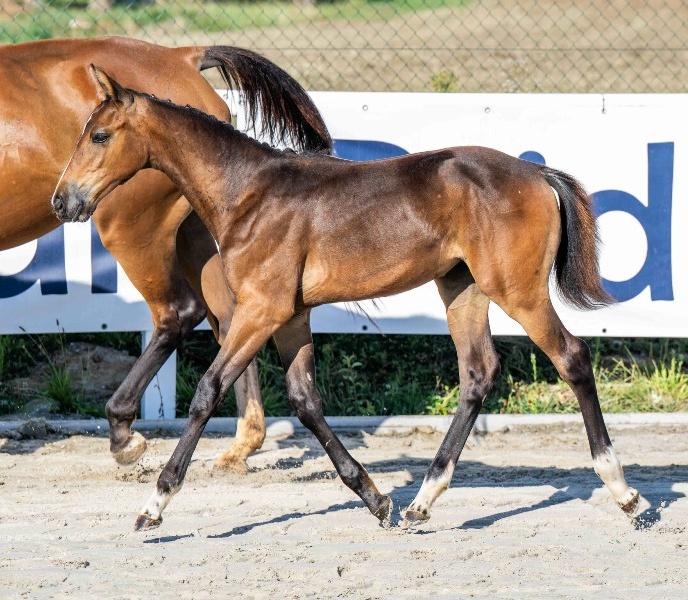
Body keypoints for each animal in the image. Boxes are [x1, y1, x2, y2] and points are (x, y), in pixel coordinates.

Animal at [0, 37, 332, 471]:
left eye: (99, 136)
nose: (60, 200)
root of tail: (183, 55)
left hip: (135, 230)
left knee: (177, 313)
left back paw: (123, 431)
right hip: (199, 228)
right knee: (230, 317)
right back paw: (243, 442)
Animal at [52, 67, 642, 531]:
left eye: (99, 135)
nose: (63, 201)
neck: (247, 193)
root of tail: (536, 172)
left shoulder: (260, 309)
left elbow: (207, 392)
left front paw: (154, 503)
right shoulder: (290, 314)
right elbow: (305, 400)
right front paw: (377, 499)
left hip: (516, 290)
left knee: (572, 357)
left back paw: (624, 492)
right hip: (462, 288)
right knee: (478, 374)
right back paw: (421, 502)